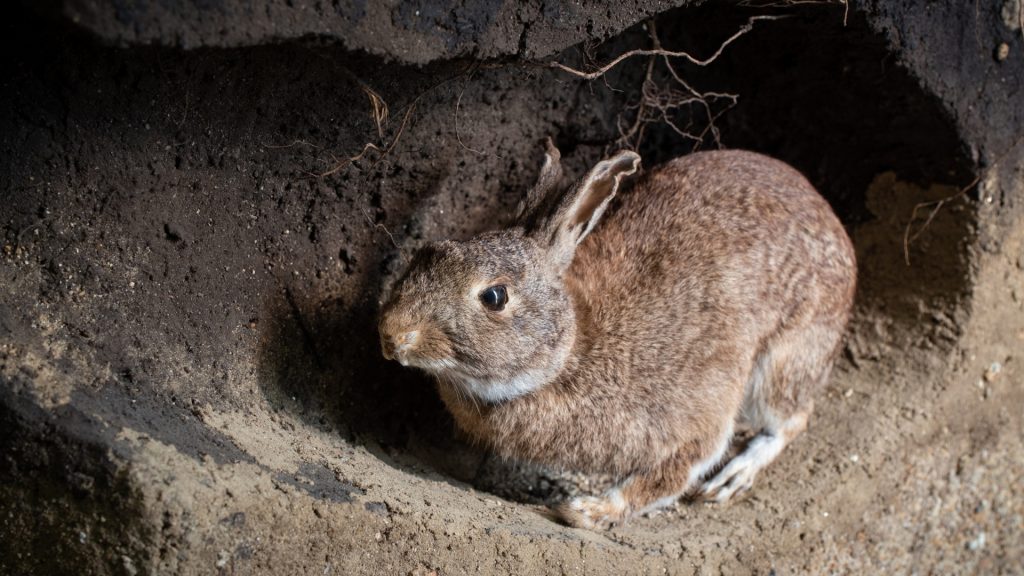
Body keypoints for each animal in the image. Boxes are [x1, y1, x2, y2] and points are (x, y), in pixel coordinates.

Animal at [376, 140, 856, 528]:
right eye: (428, 253)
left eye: (494, 296)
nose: (393, 334)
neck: (570, 350)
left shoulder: (696, 414)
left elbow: (672, 473)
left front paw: (587, 511)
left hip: (784, 360)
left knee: (791, 417)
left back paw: (735, 476)